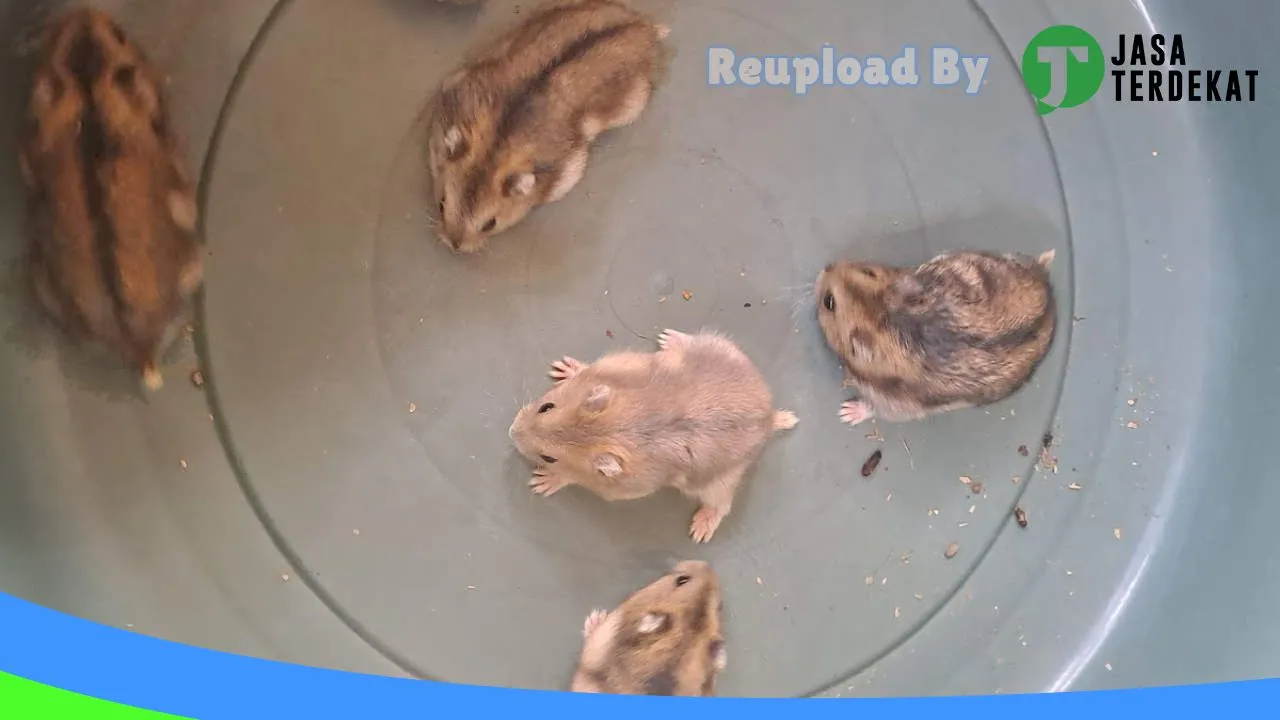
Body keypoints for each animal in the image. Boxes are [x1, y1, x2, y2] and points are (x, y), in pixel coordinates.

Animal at [509, 328, 797, 543]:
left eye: (548, 458)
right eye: (546, 407)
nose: (511, 432)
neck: (613, 429)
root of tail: (769, 416)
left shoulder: (627, 488)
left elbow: (570, 478)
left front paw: (542, 482)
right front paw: (563, 368)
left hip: (720, 482)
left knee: (722, 505)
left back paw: (700, 530)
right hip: (723, 346)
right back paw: (668, 338)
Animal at [814, 249, 1057, 426]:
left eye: (828, 302)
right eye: (868, 271)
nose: (826, 266)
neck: (883, 315)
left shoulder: (895, 403)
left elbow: (877, 409)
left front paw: (846, 413)